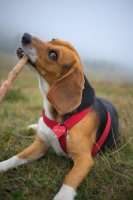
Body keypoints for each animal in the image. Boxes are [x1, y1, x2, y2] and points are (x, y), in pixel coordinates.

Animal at [0, 32, 118, 200]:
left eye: (53, 55)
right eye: (52, 39)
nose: (25, 35)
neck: (57, 119)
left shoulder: (84, 159)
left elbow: (71, 177)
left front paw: (63, 195)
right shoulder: (39, 146)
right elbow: (16, 157)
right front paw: (2, 165)